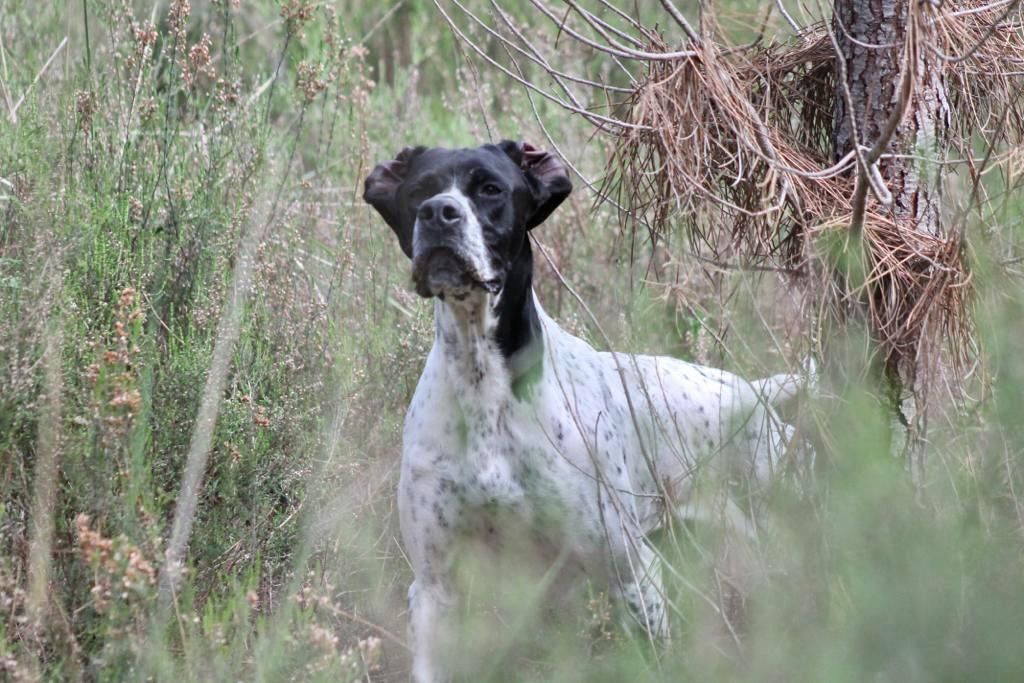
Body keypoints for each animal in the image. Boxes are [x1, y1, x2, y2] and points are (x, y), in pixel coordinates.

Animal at [364, 140, 802, 683]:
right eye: (419, 190)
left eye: (490, 188)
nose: (438, 213)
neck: (483, 382)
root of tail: (755, 391)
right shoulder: (434, 590)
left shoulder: (631, 574)